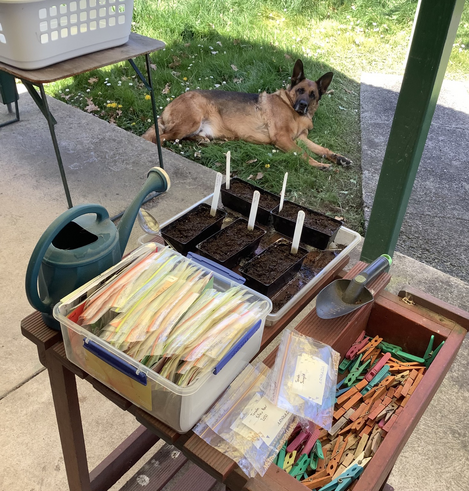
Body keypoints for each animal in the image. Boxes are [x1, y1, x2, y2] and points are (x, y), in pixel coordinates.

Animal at [143, 60, 352, 169]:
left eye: (313, 94)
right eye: (300, 91)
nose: (303, 105)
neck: (293, 110)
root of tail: (167, 107)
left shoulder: (300, 137)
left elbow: (321, 148)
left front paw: (338, 157)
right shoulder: (283, 138)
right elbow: (303, 153)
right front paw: (317, 164)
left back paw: (202, 140)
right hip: (192, 120)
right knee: (160, 137)